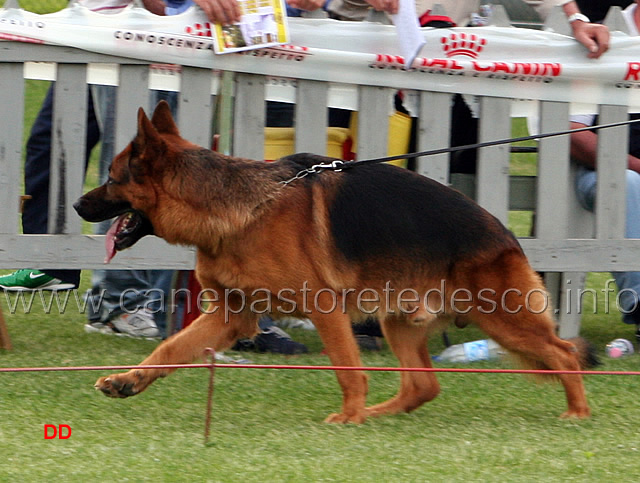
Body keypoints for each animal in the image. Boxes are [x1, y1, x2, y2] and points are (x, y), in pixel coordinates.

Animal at [74, 102, 596, 424]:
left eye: (112, 177)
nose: (78, 206)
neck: (240, 207)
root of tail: (506, 234)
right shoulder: (229, 316)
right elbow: (167, 351)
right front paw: (128, 380)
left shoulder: (324, 309)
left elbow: (347, 367)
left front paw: (347, 416)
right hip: (401, 323)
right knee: (422, 386)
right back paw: (379, 414)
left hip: (502, 317)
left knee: (565, 354)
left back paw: (578, 412)